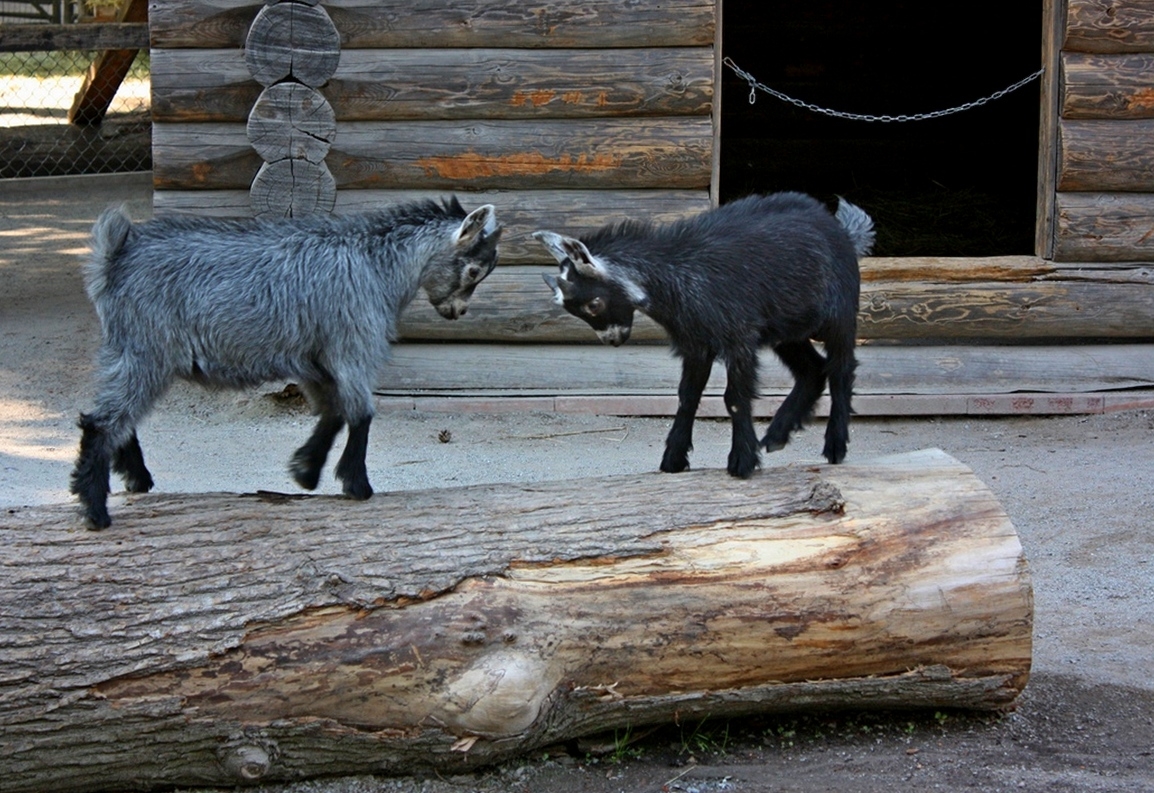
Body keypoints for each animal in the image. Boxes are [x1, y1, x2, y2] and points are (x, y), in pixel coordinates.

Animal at [70, 197, 500, 530]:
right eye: (474, 270)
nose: (458, 312)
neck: (376, 264)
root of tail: (114, 257)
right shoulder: (352, 343)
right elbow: (361, 413)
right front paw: (357, 485)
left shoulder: (316, 360)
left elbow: (333, 412)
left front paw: (305, 471)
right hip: (147, 348)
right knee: (101, 421)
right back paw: (95, 510)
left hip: (132, 350)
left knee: (119, 416)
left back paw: (136, 479)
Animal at [535, 192, 867, 477]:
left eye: (594, 303)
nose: (613, 339)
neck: (679, 274)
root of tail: (841, 231)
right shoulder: (696, 343)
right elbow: (687, 396)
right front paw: (673, 459)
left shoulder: (738, 337)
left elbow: (734, 398)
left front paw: (741, 462)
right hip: (786, 328)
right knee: (813, 369)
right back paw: (776, 436)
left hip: (839, 314)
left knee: (841, 369)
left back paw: (835, 446)